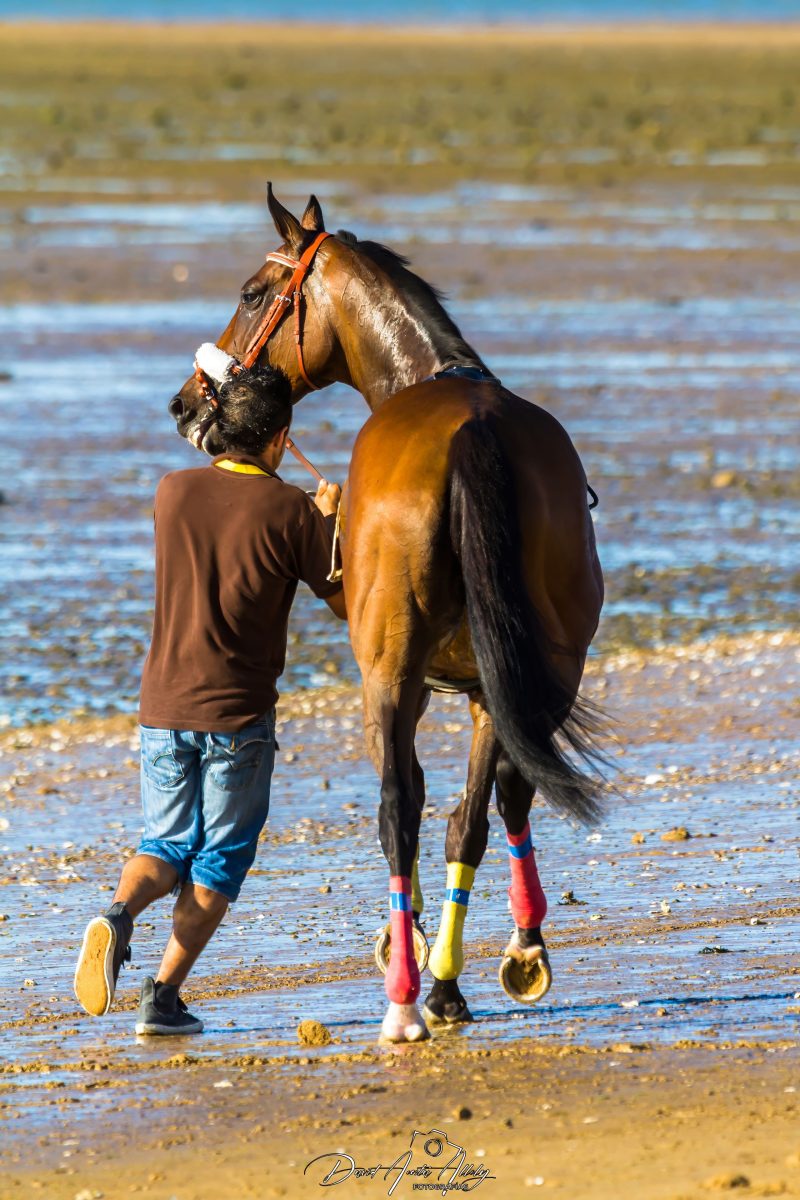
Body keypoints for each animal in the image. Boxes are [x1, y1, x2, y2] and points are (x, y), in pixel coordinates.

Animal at [169, 186, 606, 1043]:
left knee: (399, 811)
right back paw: (454, 982)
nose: (184, 403)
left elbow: (410, 798)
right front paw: (510, 946)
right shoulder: (488, 689)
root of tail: (474, 430)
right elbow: (483, 803)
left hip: (389, 674)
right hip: (530, 672)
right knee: (487, 805)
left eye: (251, 292)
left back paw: (406, 996)